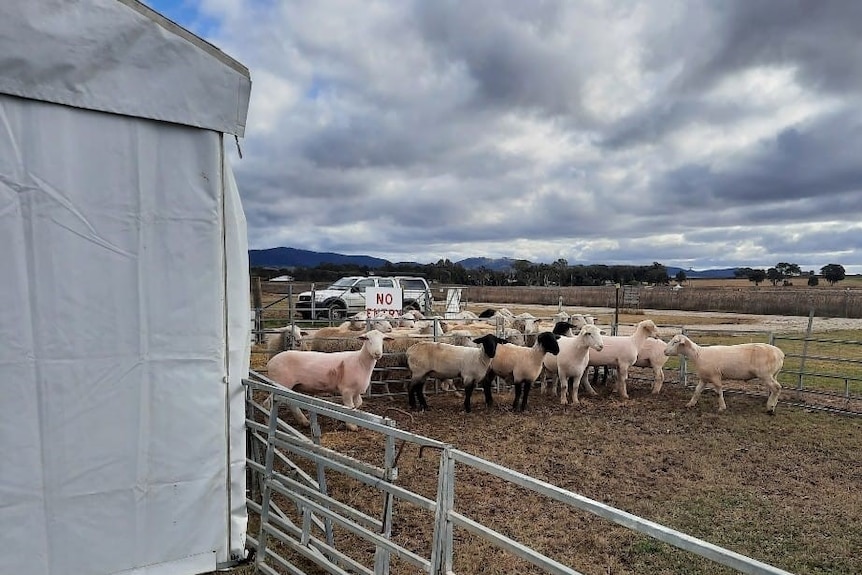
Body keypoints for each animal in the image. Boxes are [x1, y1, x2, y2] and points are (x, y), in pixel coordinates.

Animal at [266, 330, 394, 430]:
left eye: (383, 340)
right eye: (367, 339)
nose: (377, 353)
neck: (360, 361)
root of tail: (270, 362)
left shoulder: (357, 391)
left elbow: (357, 405)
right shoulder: (346, 390)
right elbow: (349, 407)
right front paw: (351, 426)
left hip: (291, 387)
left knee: (291, 404)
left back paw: (304, 422)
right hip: (280, 384)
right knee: (268, 403)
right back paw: (268, 422)